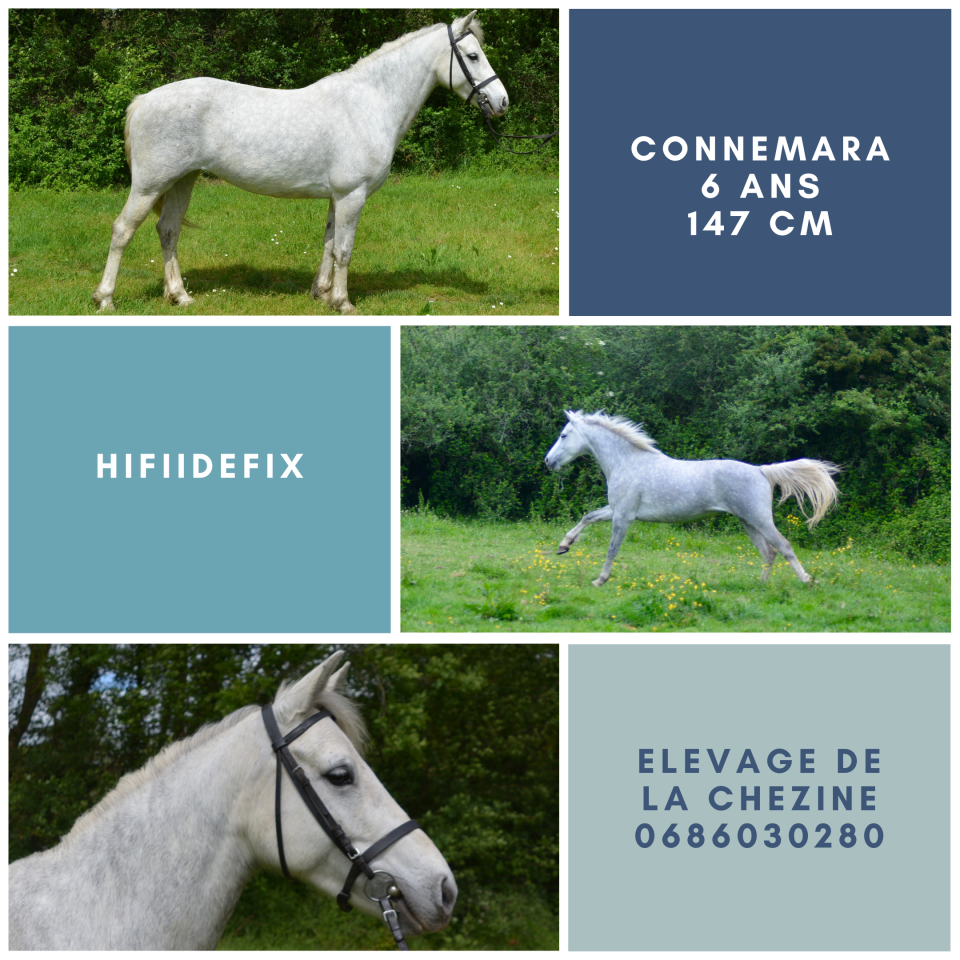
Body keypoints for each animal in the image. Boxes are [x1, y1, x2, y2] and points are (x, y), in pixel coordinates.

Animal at [91, 11, 508, 314]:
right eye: (472, 56)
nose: (502, 102)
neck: (368, 103)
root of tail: (143, 100)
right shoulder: (352, 196)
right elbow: (344, 250)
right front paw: (343, 302)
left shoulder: (337, 197)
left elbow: (328, 244)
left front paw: (321, 293)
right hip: (150, 185)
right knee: (122, 230)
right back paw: (105, 298)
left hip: (183, 180)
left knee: (168, 231)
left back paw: (180, 296)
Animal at [544, 410, 841, 587]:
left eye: (563, 435)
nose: (548, 461)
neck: (626, 462)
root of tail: (761, 470)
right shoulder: (615, 509)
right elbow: (588, 517)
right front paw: (563, 546)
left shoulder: (624, 516)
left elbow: (612, 548)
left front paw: (600, 580)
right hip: (748, 522)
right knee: (768, 552)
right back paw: (760, 585)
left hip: (759, 519)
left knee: (784, 547)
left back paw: (807, 581)